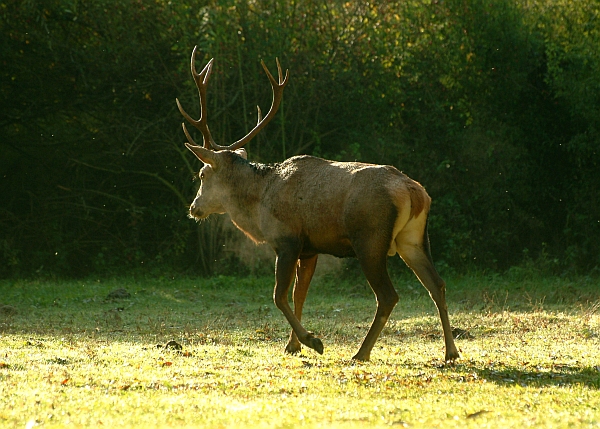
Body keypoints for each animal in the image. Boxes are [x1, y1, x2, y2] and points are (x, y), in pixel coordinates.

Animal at [178, 46, 460, 362]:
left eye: (202, 174)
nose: (194, 207)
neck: (259, 205)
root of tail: (414, 192)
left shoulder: (287, 240)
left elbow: (279, 295)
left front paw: (312, 340)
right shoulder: (310, 248)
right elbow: (299, 295)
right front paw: (292, 345)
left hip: (370, 240)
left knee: (388, 295)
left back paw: (361, 352)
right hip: (413, 239)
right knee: (437, 284)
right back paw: (451, 351)